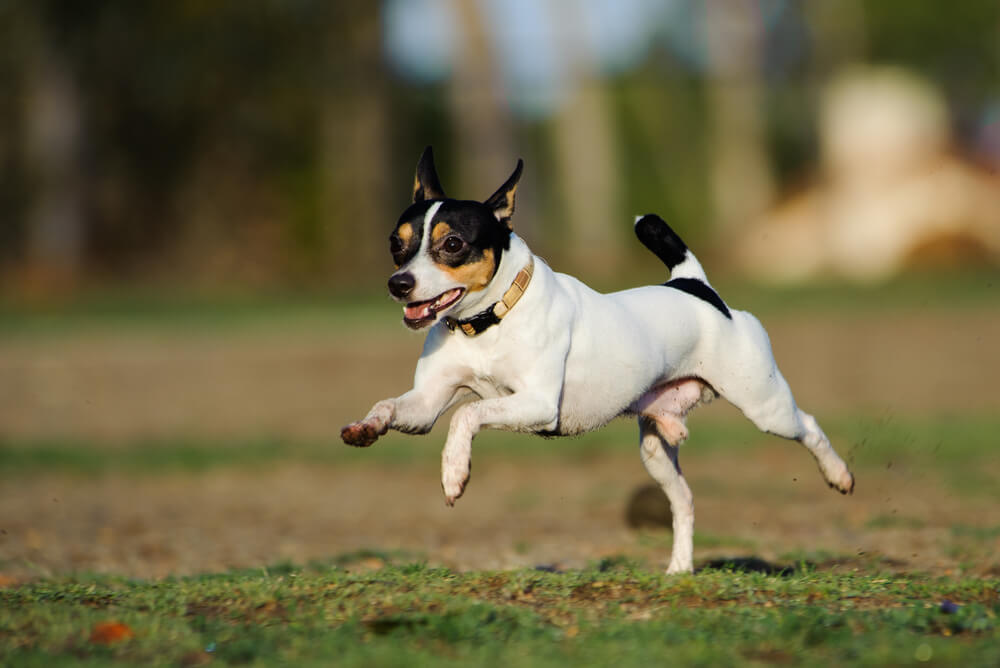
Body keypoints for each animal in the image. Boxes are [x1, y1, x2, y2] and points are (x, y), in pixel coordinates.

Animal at [344, 146, 852, 576]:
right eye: (396, 243)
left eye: (452, 244)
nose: (399, 284)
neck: (488, 322)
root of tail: (696, 286)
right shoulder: (426, 405)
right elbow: (393, 407)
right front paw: (365, 427)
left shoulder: (538, 404)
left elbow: (467, 414)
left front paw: (454, 472)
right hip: (655, 449)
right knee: (684, 502)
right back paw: (679, 570)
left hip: (765, 406)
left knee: (808, 426)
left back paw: (840, 475)